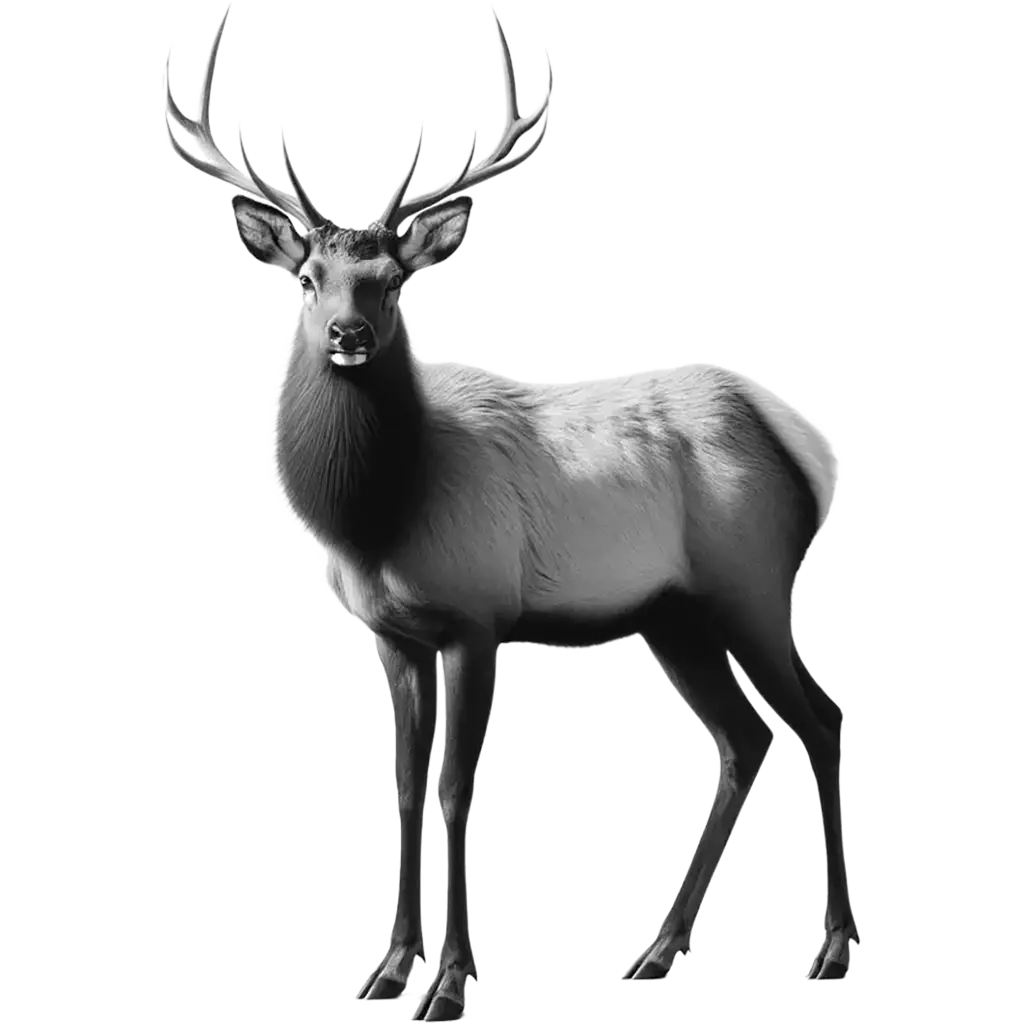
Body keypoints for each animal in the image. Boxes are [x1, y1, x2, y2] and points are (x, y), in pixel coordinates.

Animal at [162, 4, 862, 1019]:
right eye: (308, 278)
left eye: (392, 279)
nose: (348, 335)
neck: (376, 521)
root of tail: (806, 452)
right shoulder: (393, 636)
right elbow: (403, 787)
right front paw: (387, 968)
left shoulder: (477, 617)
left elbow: (456, 789)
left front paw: (450, 980)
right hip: (674, 616)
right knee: (745, 737)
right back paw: (656, 952)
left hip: (752, 584)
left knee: (820, 718)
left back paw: (833, 948)